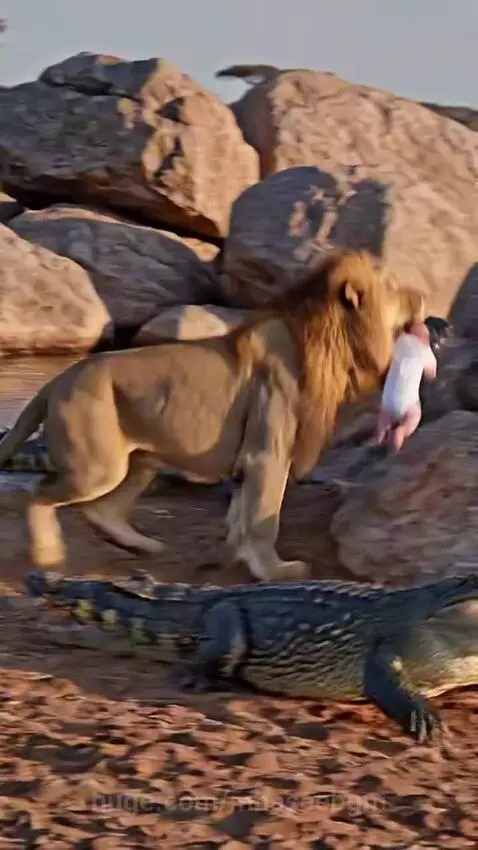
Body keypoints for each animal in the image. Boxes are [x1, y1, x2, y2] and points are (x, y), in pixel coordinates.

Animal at [0, 249, 426, 581]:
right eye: (394, 289)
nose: (423, 295)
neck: (333, 342)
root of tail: (56, 381)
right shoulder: (268, 453)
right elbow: (266, 514)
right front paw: (276, 571)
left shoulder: (250, 459)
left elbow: (243, 511)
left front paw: (235, 555)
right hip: (99, 465)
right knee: (41, 495)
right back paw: (48, 554)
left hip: (139, 459)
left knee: (101, 510)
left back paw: (143, 546)